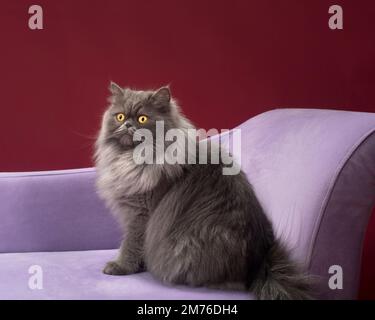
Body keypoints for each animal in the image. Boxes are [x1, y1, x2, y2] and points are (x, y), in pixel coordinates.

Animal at [94, 82, 312, 300]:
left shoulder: (141, 214)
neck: (130, 160)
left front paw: (119, 267)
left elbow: (131, 244)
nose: (127, 125)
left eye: (142, 119)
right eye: (120, 116)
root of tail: (260, 261)